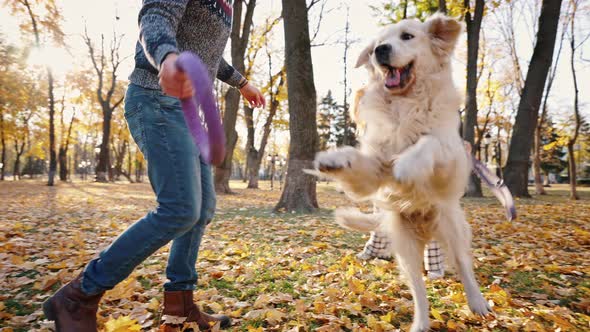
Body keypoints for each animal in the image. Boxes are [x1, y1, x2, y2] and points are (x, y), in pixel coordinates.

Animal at [312, 13, 492, 332]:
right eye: (376, 44)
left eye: (407, 36)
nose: (380, 50)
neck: (405, 103)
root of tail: (426, 230)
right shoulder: (375, 171)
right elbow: (361, 161)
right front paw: (335, 158)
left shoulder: (450, 158)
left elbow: (429, 141)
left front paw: (408, 162)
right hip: (406, 249)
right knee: (419, 290)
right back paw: (420, 323)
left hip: (451, 227)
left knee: (464, 267)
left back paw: (478, 303)